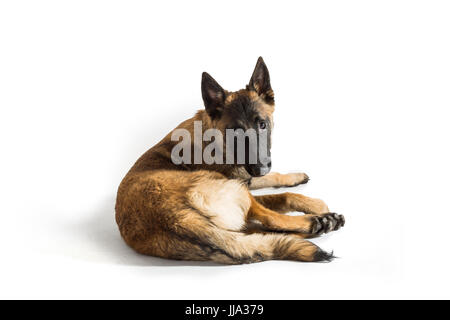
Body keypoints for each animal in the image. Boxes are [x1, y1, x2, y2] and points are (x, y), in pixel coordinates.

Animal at [116, 57, 344, 262]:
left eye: (262, 124)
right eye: (235, 132)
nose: (260, 167)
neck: (215, 140)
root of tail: (177, 220)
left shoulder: (247, 176)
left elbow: (275, 179)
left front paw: (295, 176)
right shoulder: (242, 181)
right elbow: (284, 197)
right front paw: (315, 204)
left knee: (263, 232)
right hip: (237, 191)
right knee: (270, 219)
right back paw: (320, 221)